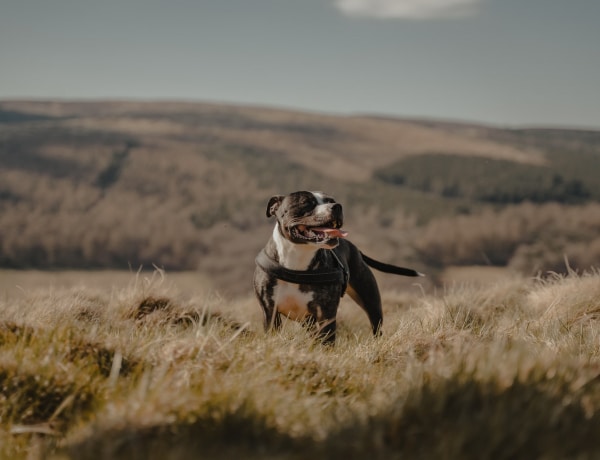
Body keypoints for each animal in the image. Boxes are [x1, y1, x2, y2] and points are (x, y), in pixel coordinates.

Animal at [253, 189, 422, 344]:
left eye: (331, 200)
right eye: (306, 202)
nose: (337, 206)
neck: (297, 260)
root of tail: (355, 248)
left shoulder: (326, 313)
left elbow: (327, 341)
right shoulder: (270, 311)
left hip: (371, 300)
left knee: (376, 326)